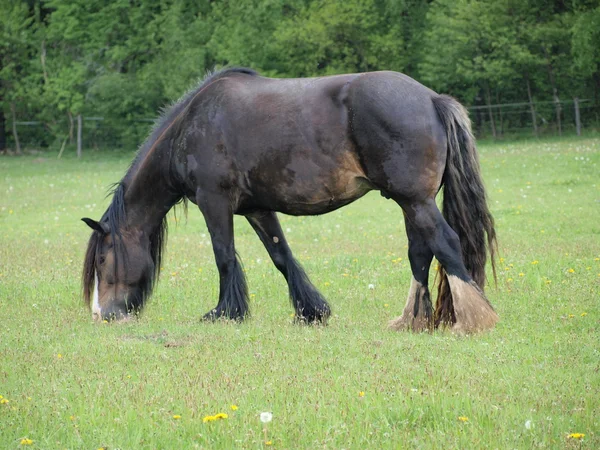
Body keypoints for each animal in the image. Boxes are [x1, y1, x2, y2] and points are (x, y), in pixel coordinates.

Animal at [82, 67, 500, 334]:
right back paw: (413, 320)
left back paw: (473, 320)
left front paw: (225, 313)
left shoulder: (213, 201)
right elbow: (281, 256)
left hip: (414, 200)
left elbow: (224, 257)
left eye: (102, 259)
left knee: (445, 243)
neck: (193, 125)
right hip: (410, 202)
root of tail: (431, 99)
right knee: (420, 252)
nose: (102, 314)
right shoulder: (256, 208)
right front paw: (311, 312)